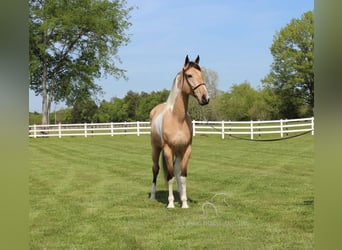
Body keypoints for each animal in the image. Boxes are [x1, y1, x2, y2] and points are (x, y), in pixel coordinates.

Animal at [150, 55, 210, 208]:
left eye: (201, 75)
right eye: (189, 75)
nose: (205, 98)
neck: (177, 119)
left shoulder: (186, 149)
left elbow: (182, 176)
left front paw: (184, 202)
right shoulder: (167, 150)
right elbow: (170, 177)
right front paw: (171, 204)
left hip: (178, 152)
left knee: (176, 170)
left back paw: (179, 192)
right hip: (156, 149)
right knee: (156, 169)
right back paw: (152, 195)